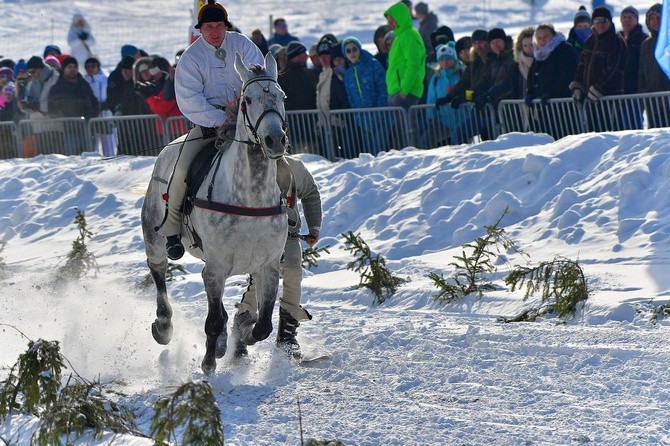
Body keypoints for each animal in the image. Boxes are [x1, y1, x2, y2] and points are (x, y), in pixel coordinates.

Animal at [140, 51, 288, 372]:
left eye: (282, 95)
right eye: (247, 100)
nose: (275, 140)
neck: (250, 197)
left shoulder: (268, 266)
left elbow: (263, 325)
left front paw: (242, 334)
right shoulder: (217, 268)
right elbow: (213, 321)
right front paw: (208, 362)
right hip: (155, 238)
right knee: (158, 271)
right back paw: (164, 326)